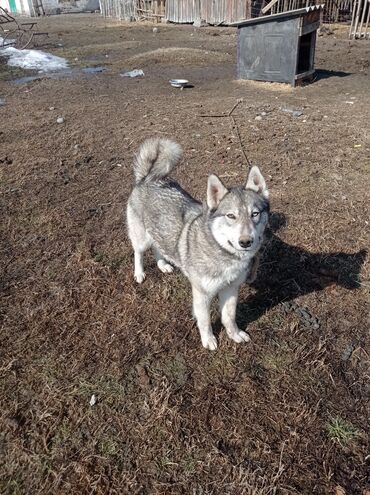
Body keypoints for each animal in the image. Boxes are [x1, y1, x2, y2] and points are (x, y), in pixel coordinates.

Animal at [126, 138, 268, 350]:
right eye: (231, 216)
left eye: (255, 214)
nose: (245, 242)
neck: (224, 254)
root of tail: (146, 178)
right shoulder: (202, 294)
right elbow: (205, 320)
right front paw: (208, 340)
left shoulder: (231, 289)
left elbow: (229, 317)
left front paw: (234, 334)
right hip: (141, 239)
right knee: (139, 253)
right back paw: (140, 273)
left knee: (159, 248)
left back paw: (163, 265)